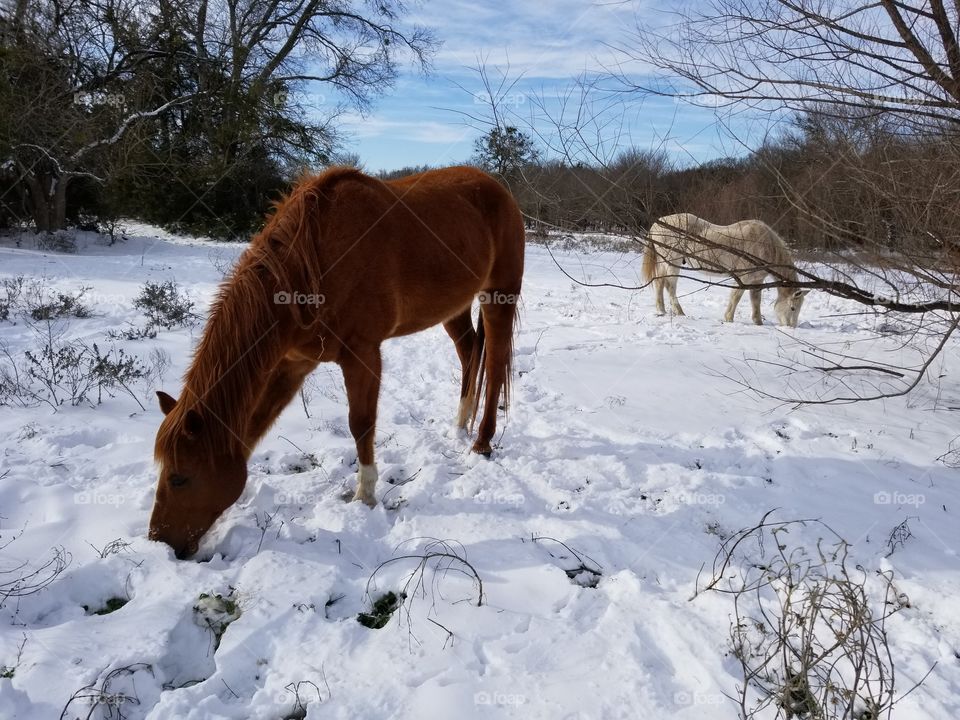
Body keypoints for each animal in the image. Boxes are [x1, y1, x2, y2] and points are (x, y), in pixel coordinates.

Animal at [149, 166, 525, 558]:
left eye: (179, 478)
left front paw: (365, 496)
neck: (313, 263)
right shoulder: (292, 364)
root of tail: (497, 189)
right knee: (469, 353)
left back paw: (481, 442)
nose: (158, 541)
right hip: (454, 307)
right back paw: (461, 423)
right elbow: (257, 424)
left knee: (495, 364)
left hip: (499, 295)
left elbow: (360, 424)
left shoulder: (362, 353)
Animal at [642, 213, 809, 327]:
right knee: (670, 286)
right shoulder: (743, 277)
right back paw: (679, 312)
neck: (765, 245)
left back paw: (662, 311)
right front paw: (729, 319)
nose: (791, 328)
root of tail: (657, 224)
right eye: (793, 308)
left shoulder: (756, 281)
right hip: (672, 263)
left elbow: (756, 301)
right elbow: (735, 297)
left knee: (659, 283)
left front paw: (758, 323)